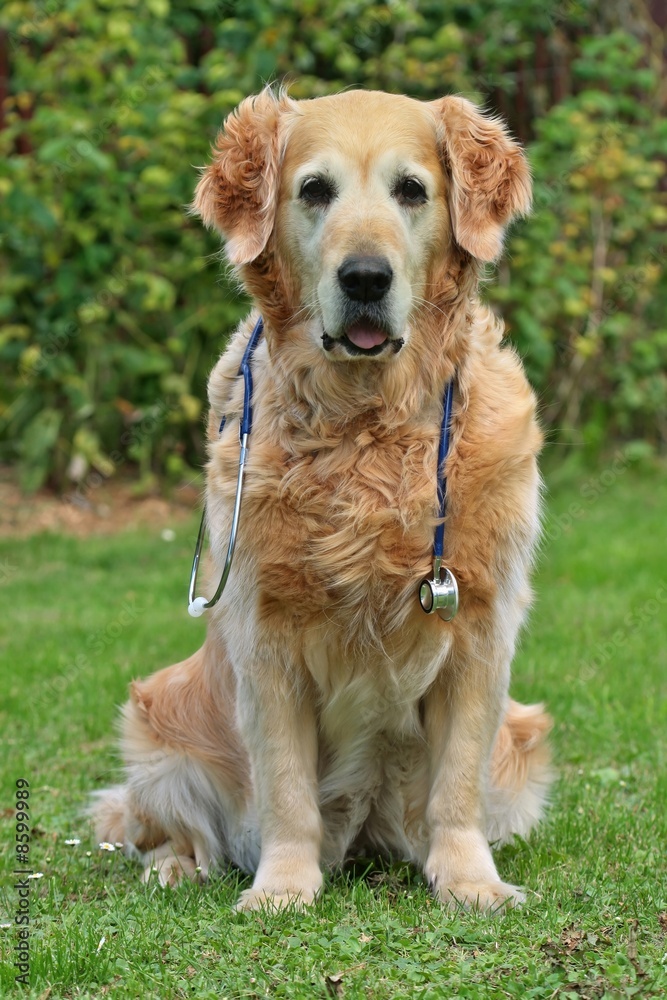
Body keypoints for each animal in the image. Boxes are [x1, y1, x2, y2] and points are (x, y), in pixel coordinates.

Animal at [94, 88, 552, 916]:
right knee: (163, 828)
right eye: (313, 190)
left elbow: (456, 786)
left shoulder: (478, 631)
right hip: (159, 720)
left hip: (522, 740)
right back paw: (176, 867)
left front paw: (469, 880)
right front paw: (282, 886)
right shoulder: (265, 637)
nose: (365, 277)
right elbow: (285, 787)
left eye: (411, 190)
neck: (366, 424)